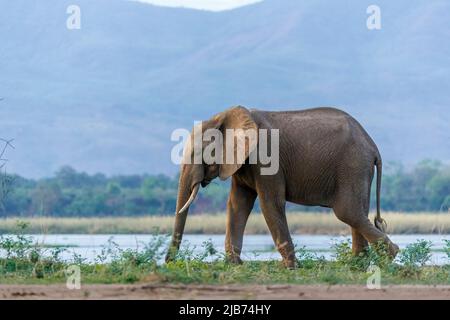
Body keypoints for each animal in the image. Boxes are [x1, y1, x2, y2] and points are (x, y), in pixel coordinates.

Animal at [167, 105, 400, 268]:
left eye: (197, 153)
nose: (169, 262)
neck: (225, 116)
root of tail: (373, 146)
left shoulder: (266, 158)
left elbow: (270, 203)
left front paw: (291, 267)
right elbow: (237, 205)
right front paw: (234, 264)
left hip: (352, 165)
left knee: (347, 211)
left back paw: (390, 257)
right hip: (357, 168)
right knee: (358, 212)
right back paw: (357, 265)